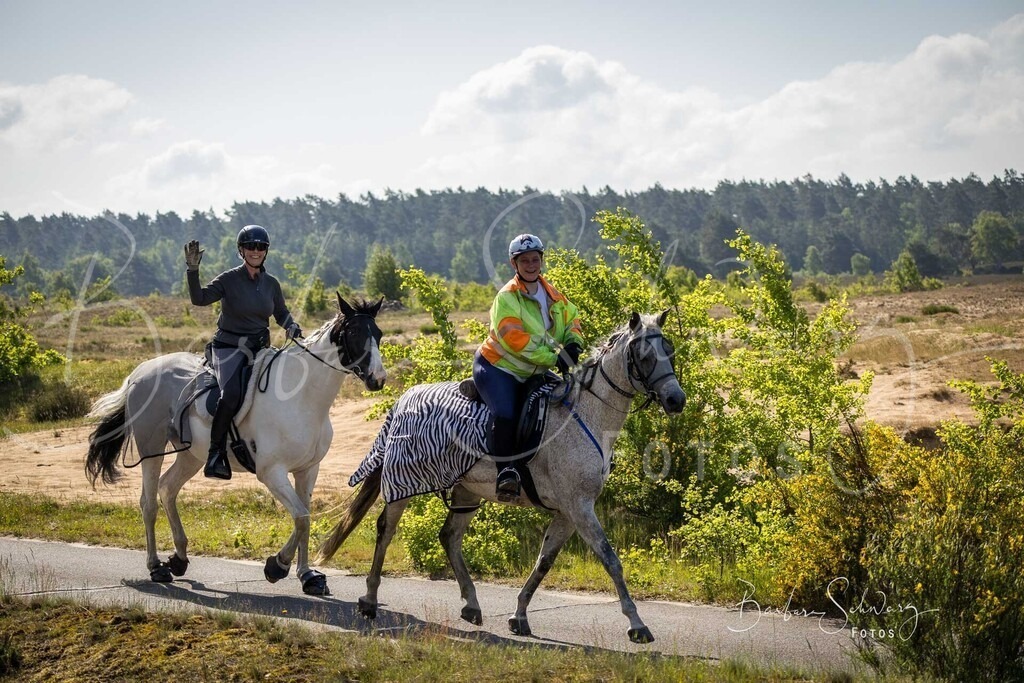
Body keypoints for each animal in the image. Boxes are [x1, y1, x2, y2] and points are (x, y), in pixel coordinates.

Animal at [85, 294, 386, 595]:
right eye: (355, 333)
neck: (303, 397)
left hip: (192, 455)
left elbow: (306, 518)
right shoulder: (272, 472)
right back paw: (156, 567)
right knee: (148, 503)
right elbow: (301, 518)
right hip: (152, 450)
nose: (379, 379)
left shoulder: (308, 470)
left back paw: (179, 558)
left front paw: (307, 576)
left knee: (168, 488)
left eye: (378, 334)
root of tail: (140, 372)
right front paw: (277, 566)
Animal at [316, 310, 685, 642]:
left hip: (467, 491)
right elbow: (610, 560)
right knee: (386, 531)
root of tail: (405, 398)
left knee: (449, 537)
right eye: (644, 355)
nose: (676, 400)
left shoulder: (568, 512)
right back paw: (369, 600)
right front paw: (637, 624)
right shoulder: (580, 507)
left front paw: (519, 616)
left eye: (670, 349)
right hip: (403, 484)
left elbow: (543, 562)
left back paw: (471, 605)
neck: (585, 415)